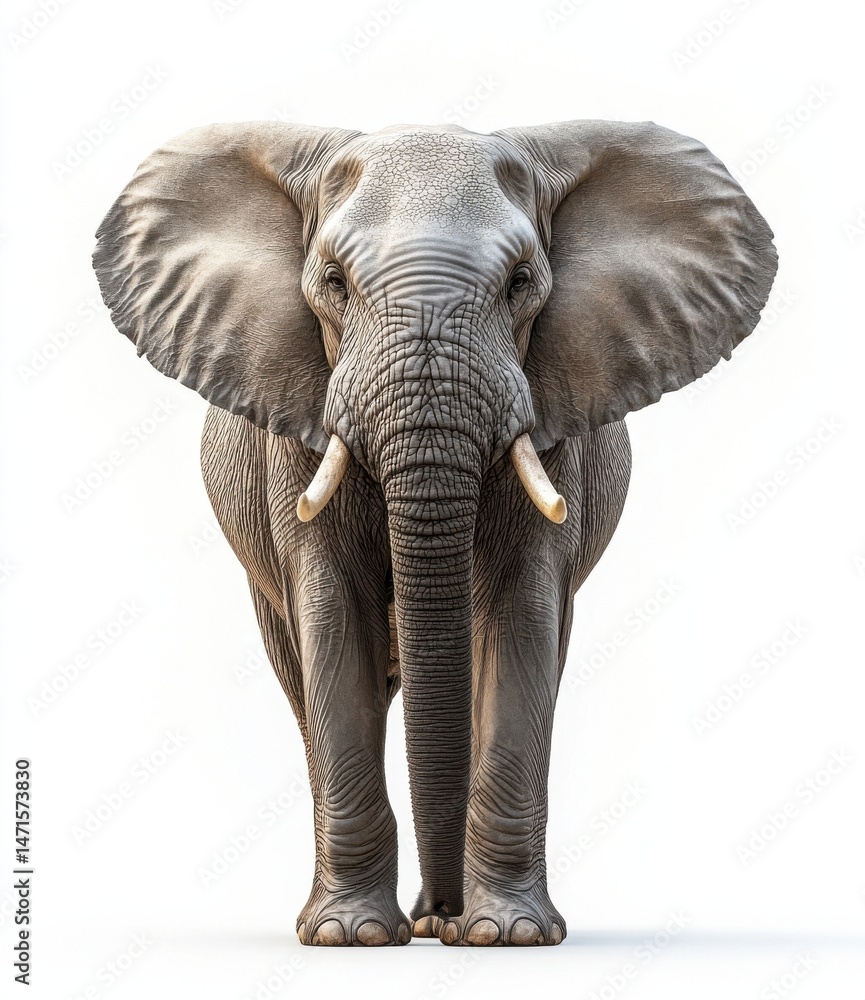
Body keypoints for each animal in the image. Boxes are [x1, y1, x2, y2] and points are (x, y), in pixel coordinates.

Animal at [93, 118, 776, 947]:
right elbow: (332, 616)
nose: (442, 919)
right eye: (333, 282)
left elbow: (518, 619)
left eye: (520, 282)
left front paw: (508, 936)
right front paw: (349, 937)